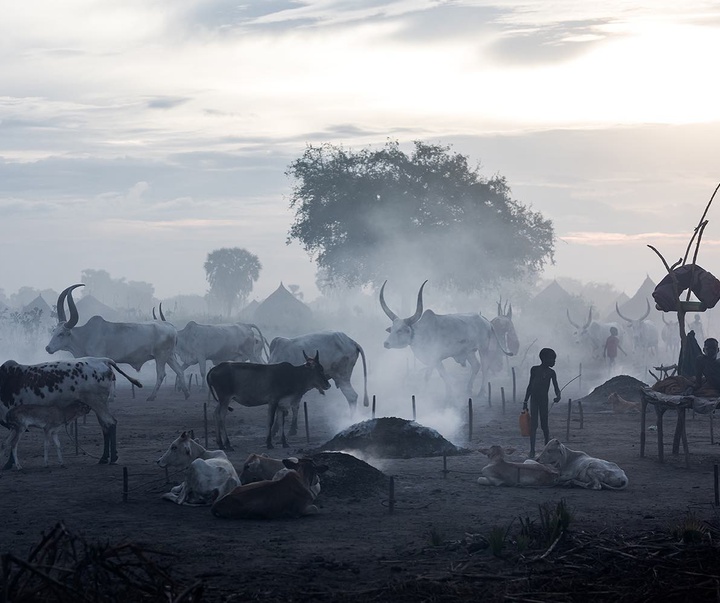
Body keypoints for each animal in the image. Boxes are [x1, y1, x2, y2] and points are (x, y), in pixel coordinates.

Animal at [46, 286, 190, 404]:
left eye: (61, 333)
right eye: (54, 331)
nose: (48, 348)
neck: (86, 335)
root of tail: (171, 327)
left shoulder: (100, 357)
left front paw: (109, 398)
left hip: (161, 357)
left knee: (161, 374)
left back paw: (152, 396)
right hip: (169, 356)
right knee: (179, 370)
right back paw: (186, 394)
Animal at [376, 280, 512, 398]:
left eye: (400, 330)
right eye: (392, 329)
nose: (386, 343)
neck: (421, 333)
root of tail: (486, 321)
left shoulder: (434, 358)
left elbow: (428, 375)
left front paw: (423, 395)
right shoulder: (436, 360)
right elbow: (443, 375)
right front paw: (449, 394)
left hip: (484, 348)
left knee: (485, 367)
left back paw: (481, 392)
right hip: (469, 352)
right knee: (476, 366)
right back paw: (468, 389)